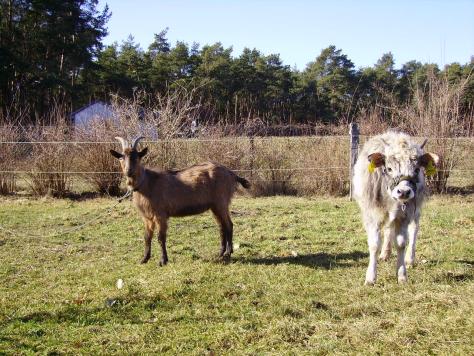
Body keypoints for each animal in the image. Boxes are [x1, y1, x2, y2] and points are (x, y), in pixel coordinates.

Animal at [109, 136, 250, 264]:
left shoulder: (160, 214)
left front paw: (163, 260)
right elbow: (147, 237)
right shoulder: (147, 217)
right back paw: (220, 253)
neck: (146, 183)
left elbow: (161, 237)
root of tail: (232, 174)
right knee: (221, 226)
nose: (128, 171)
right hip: (214, 206)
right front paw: (144, 259)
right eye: (121, 157)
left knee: (229, 224)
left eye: (137, 156)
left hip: (221, 202)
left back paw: (228, 252)